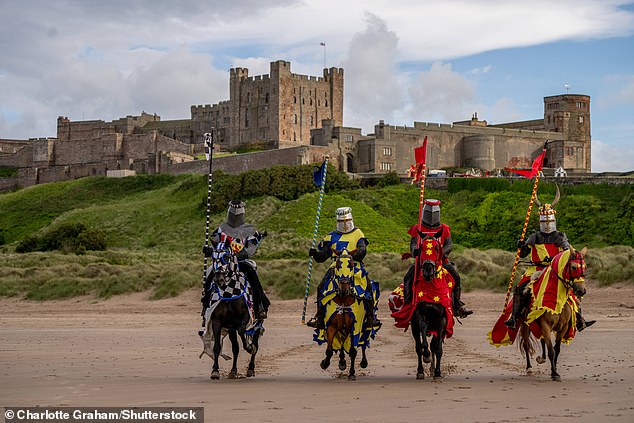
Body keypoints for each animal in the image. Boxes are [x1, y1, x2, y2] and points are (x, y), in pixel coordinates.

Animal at [202, 242, 262, 380]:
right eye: (213, 257)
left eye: (226, 257)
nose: (219, 280)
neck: (229, 294)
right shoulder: (217, 321)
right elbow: (217, 347)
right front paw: (215, 371)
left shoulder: (246, 316)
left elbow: (244, 334)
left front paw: (250, 347)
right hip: (230, 329)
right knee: (235, 348)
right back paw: (233, 371)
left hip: (257, 323)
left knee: (255, 342)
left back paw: (251, 368)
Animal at [318, 250, 368, 382]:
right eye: (338, 264)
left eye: (351, 264)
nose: (344, 288)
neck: (344, 299)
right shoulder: (331, 326)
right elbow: (329, 350)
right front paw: (325, 363)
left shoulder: (355, 327)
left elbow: (353, 351)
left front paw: (352, 373)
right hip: (341, 329)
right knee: (341, 344)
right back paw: (341, 362)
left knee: (363, 344)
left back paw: (363, 362)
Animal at [516, 245, 584, 380]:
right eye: (574, 267)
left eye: (584, 266)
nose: (581, 291)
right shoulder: (546, 325)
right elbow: (551, 351)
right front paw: (554, 373)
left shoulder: (563, 327)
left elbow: (556, 349)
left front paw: (555, 369)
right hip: (525, 325)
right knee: (526, 345)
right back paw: (529, 368)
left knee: (541, 341)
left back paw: (541, 358)